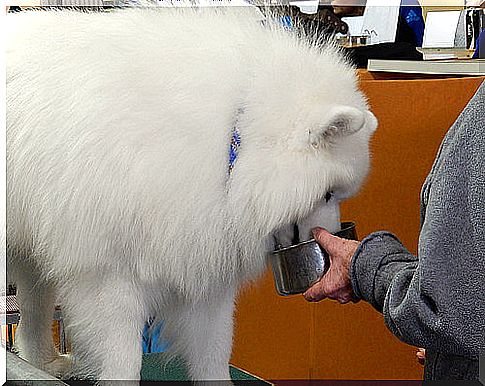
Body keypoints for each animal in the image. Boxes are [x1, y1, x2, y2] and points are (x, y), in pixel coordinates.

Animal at [4, 5, 378, 382]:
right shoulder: (109, 278)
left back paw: (43, 362)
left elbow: (214, 354)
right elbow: (124, 362)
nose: (334, 237)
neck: (233, 138)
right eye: (328, 194)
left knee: (33, 310)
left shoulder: (201, 266)